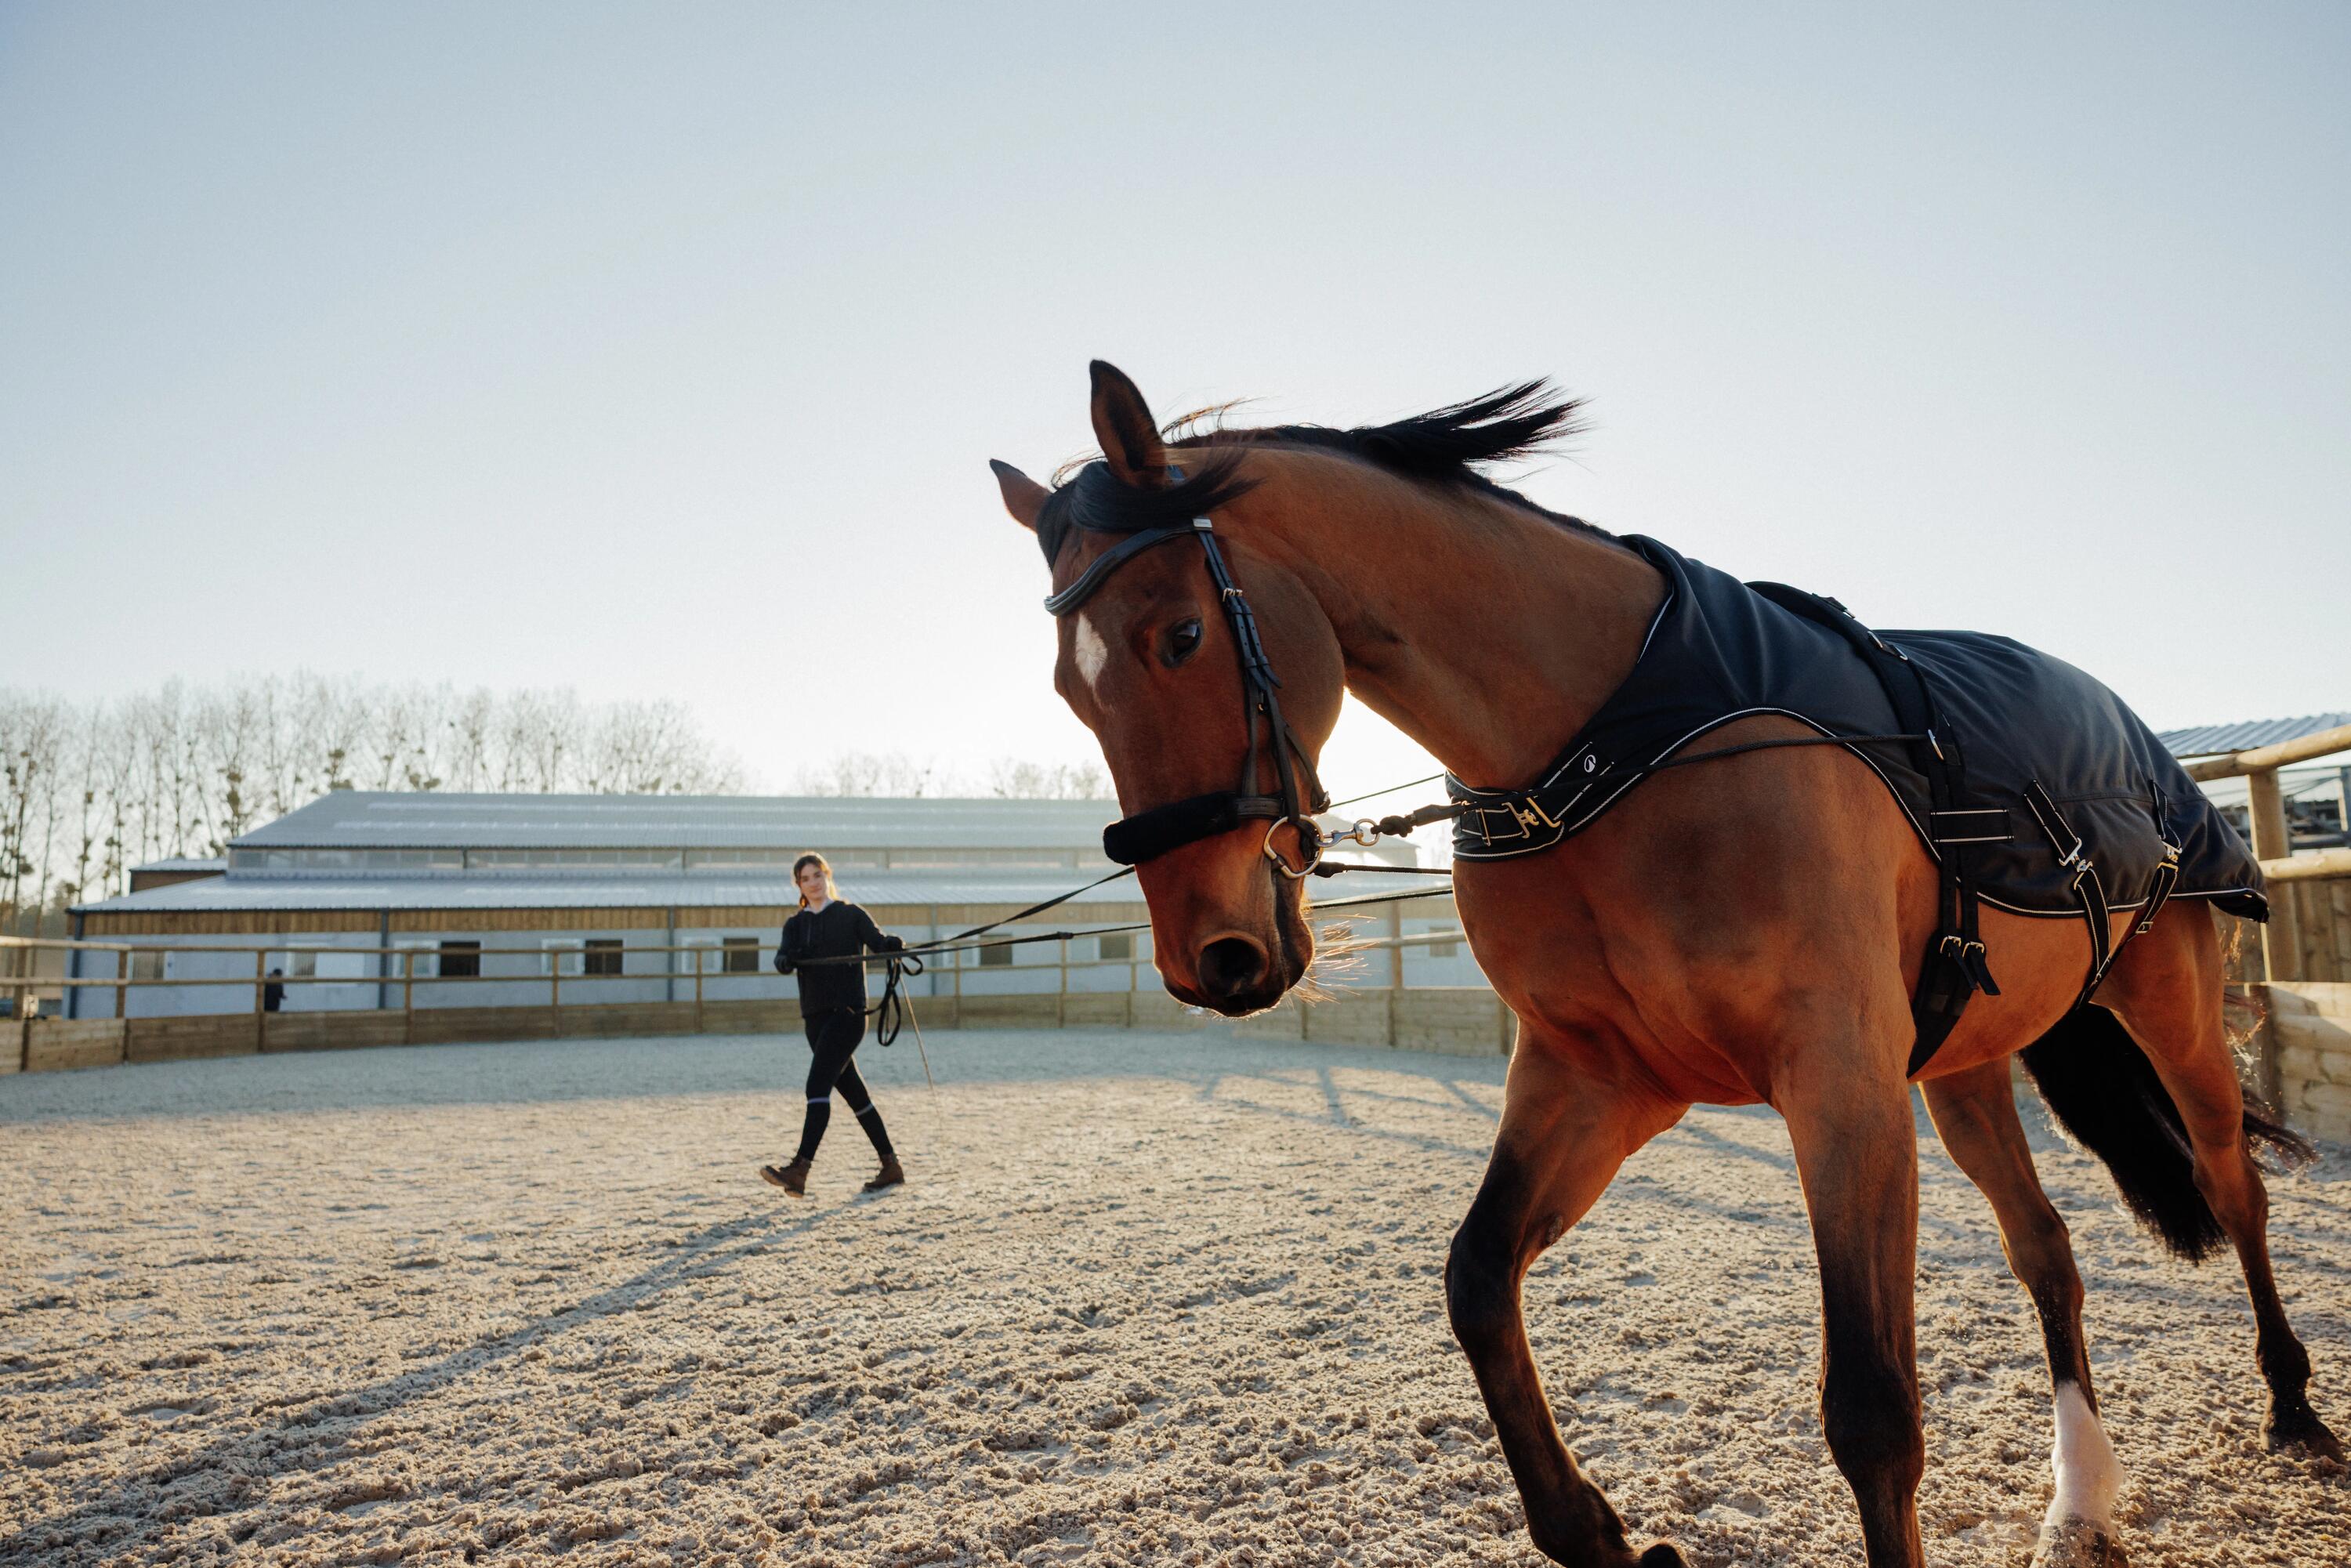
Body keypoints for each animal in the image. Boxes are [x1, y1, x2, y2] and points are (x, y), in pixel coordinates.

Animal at [987, 362, 2335, 1568]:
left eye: (1179, 635)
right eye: (1067, 685)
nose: (1211, 954)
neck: (1617, 739)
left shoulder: (1838, 1089)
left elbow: (1874, 1412)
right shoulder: (1602, 1079)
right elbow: (1478, 1279)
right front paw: (1600, 1532)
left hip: (2172, 1009)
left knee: (2233, 1188)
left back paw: (2293, 1406)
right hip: (1963, 1070)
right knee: (2047, 1251)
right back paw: (2080, 1499)